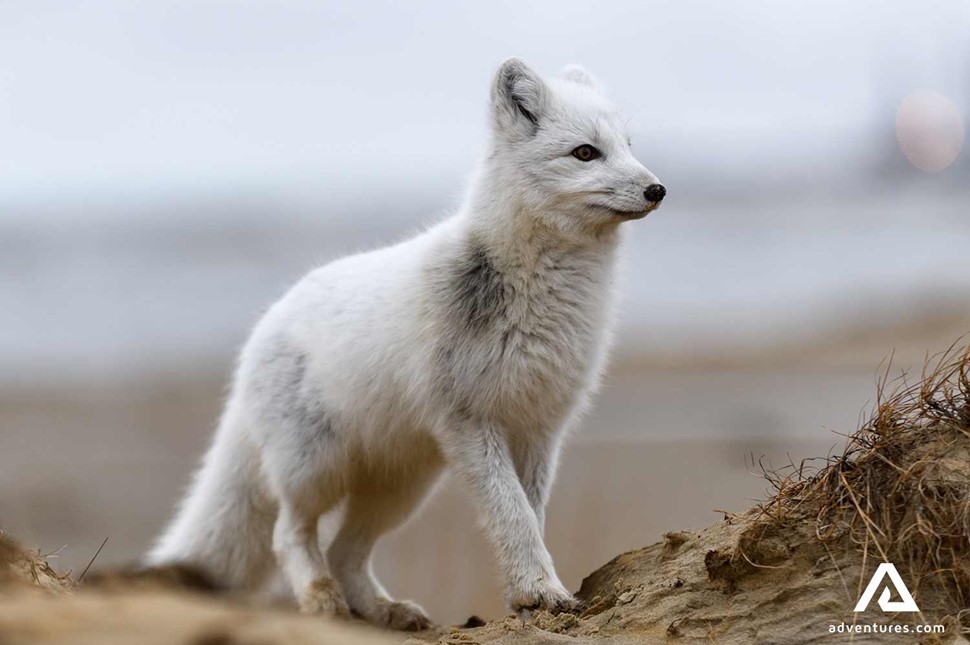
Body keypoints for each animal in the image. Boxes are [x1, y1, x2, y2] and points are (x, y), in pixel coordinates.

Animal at [147, 57, 664, 628]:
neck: (548, 295)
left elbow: (530, 514)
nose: (658, 189)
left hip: (401, 487)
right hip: (317, 470)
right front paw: (540, 591)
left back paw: (384, 609)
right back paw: (322, 600)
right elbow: (513, 516)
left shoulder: (541, 428)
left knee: (345, 551)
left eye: (629, 145)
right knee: (291, 535)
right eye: (585, 152)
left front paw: (530, 593)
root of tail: (262, 329)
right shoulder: (470, 421)